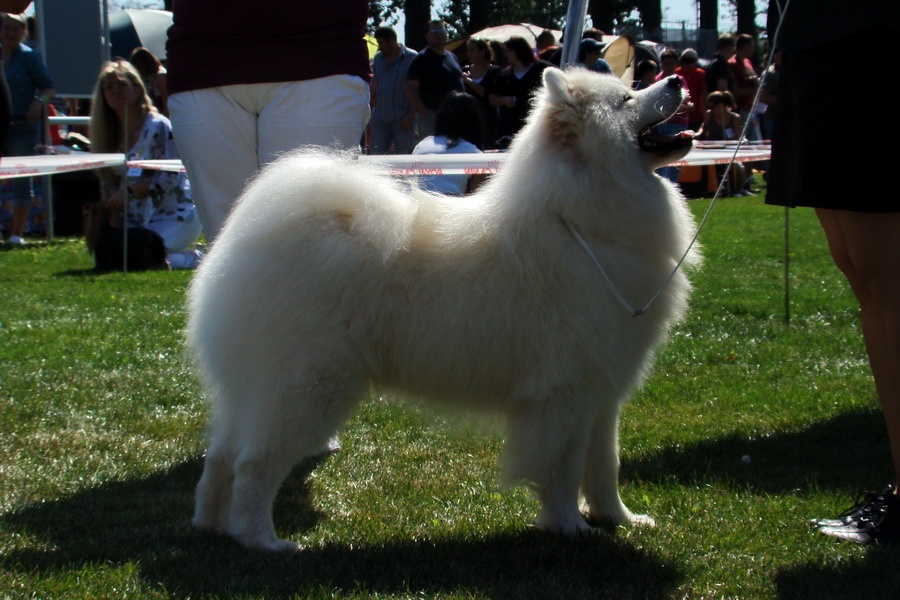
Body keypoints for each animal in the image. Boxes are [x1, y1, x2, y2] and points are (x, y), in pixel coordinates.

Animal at [186, 68, 700, 552]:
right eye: (627, 99)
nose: (676, 79)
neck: (582, 222)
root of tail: (245, 247)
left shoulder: (603, 390)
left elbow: (604, 466)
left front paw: (620, 520)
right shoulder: (563, 393)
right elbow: (562, 471)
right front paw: (570, 527)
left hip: (255, 393)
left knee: (221, 459)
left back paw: (212, 527)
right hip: (307, 392)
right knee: (253, 466)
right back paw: (261, 541)